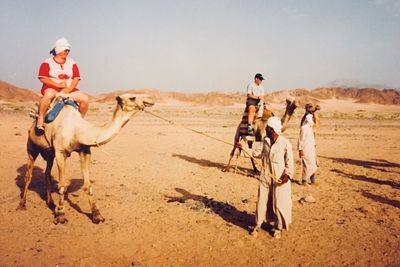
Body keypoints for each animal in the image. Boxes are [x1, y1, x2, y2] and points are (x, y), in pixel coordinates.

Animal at [17, 93, 155, 225]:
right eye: (132, 97)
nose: (151, 99)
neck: (77, 131)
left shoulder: (85, 151)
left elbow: (88, 186)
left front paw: (97, 215)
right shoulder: (60, 152)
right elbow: (62, 186)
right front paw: (61, 215)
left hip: (49, 153)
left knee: (46, 173)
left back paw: (50, 202)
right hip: (32, 147)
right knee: (28, 175)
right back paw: (22, 204)